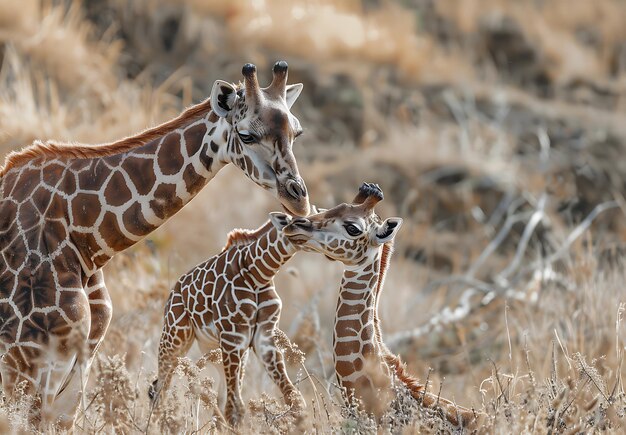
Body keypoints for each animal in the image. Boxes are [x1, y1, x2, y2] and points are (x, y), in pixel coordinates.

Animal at [0, 61, 310, 430]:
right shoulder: (31, 365)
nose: (299, 199)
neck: (85, 242)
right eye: (246, 135)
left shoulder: (77, 368)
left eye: (297, 132)